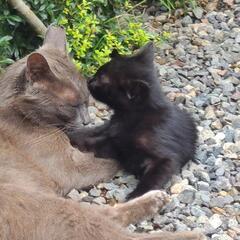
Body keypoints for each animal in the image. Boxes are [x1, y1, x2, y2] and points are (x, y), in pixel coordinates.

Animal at [69, 42, 197, 199]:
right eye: (97, 73)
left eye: (101, 80)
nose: (89, 80)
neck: (133, 116)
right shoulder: (113, 138)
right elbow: (90, 137)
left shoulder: (166, 158)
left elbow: (153, 177)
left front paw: (137, 196)